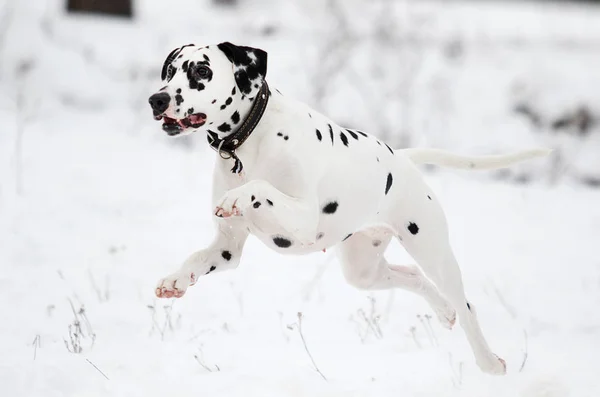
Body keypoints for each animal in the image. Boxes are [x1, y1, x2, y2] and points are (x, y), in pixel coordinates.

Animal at [149, 41, 548, 374]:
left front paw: (239, 196)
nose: (157, 99)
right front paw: (176, 280)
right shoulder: (227, 248)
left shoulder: (304, 218)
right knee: (414, 277)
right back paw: (443, 310)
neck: (248, 140)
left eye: (202, 70)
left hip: (435, 253)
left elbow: (260, 188)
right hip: (363, 271)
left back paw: (488, 361)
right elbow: (198, 257)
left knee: (466, 306)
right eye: (170, 71)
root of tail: (404, 159)